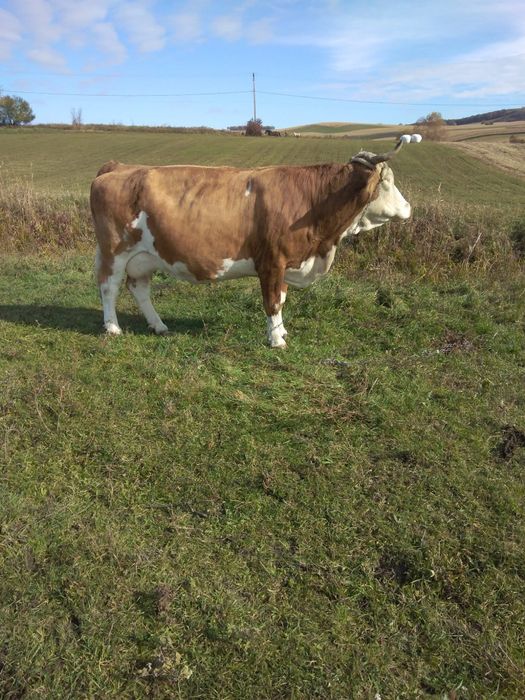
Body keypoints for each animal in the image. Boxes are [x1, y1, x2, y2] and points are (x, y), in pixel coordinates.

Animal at [90, 134, 422, 347]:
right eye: (387, 181)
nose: (409, 207)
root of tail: (118, 167)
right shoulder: (272, 261)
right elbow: (272, 301)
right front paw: (276, 341)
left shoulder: (286, 263)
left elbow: (282, 299)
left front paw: (283, 333)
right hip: (114, 250)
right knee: (109, 286)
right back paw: (113, 328)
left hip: (144, 257)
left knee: (139, 289)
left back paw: (159, 325)